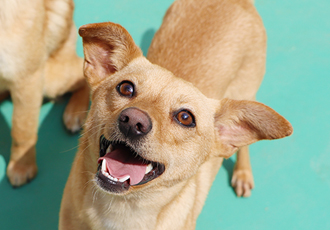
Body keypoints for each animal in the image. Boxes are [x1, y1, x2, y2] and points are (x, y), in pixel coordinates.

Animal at [0, 0, 90, 187]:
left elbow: (22, 130)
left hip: (49, 79)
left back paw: (75, 112)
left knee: (82, 72)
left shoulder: (26, 78)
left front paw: (22, 166)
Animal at [60, 0, 292, 229]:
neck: (122, 209)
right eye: (125, 88)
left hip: (246, 90)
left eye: (185, 118)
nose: (133, 121)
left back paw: (243, 173)